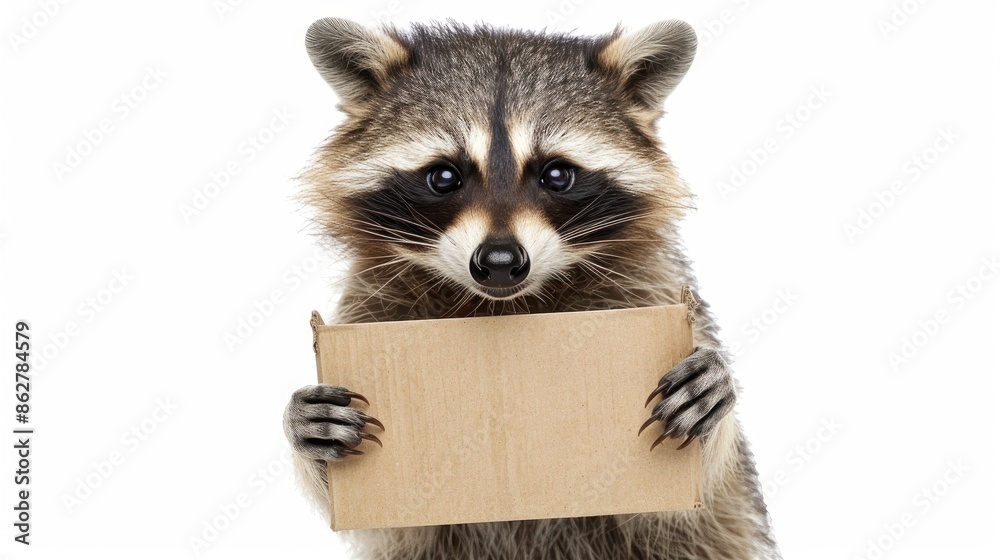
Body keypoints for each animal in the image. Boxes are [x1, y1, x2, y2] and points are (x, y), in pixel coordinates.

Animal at [284, 18, 781, 560]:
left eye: (557, 174)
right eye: (444, 176)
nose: (501, 264)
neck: (508, 307)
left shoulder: (655, 288)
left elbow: (701, 498)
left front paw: (717, 392)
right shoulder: (371, 304)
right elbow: (383, 518)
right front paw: (301, 433)